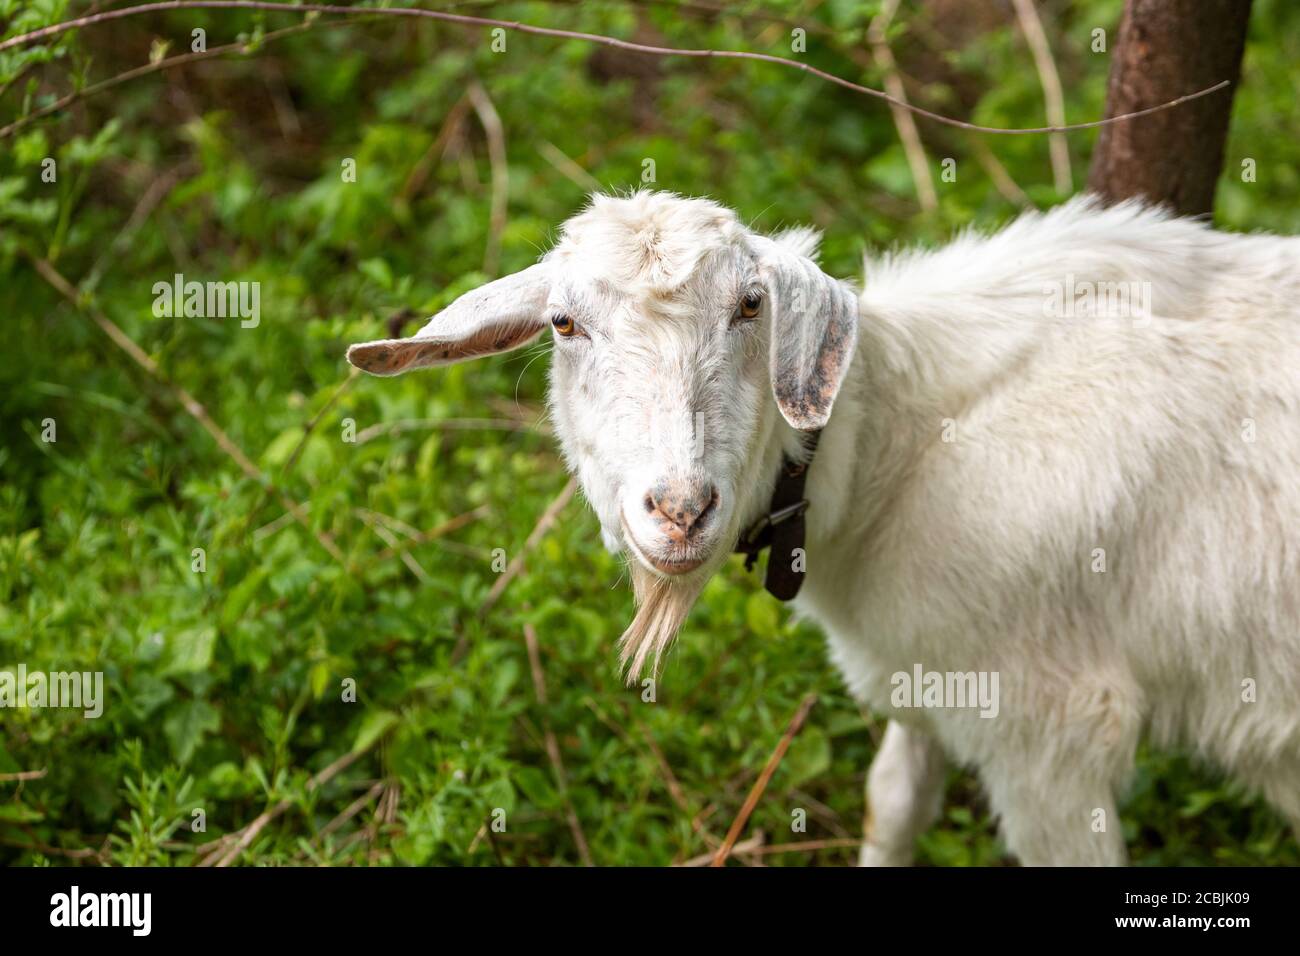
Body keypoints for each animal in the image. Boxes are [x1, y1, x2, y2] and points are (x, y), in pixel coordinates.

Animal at [348, 192, 1300, 868]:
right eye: (563, 323)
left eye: (750, 308)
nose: (680, 510)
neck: (900, 447)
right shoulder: (930, 671)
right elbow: (893, 802)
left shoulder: (1053, 730)